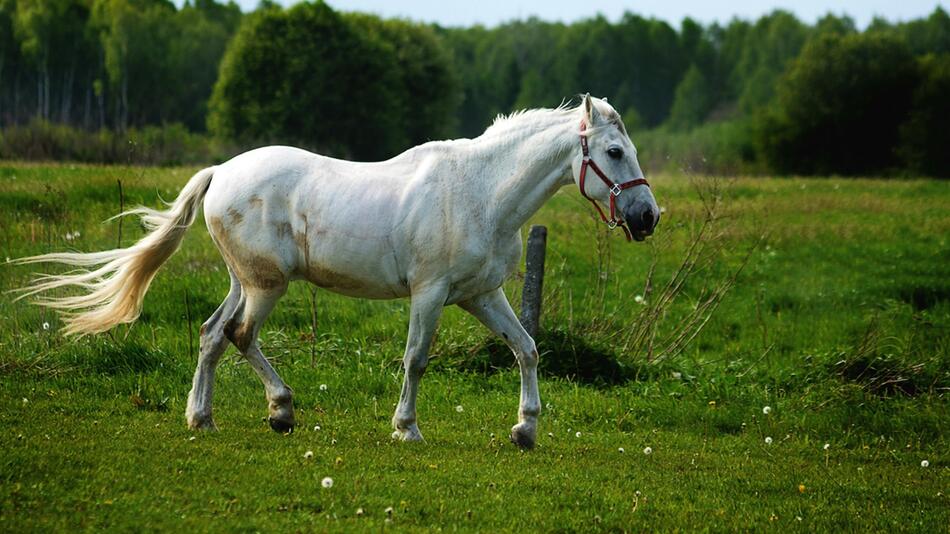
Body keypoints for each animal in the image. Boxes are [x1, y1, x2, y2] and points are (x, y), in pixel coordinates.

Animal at [11, 96, 660, 452]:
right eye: (614, 153)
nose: (647, 217)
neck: (481, 191)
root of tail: (221, 172)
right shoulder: (430, 294)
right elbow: (416, 360)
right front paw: (406, 429)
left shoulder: (481, 295)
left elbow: (526, 348)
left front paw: (525, 430)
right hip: (266, 285)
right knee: (239, 334)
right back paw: (280, 410)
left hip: (245, 281)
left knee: (212, 334)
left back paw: (204, 417)